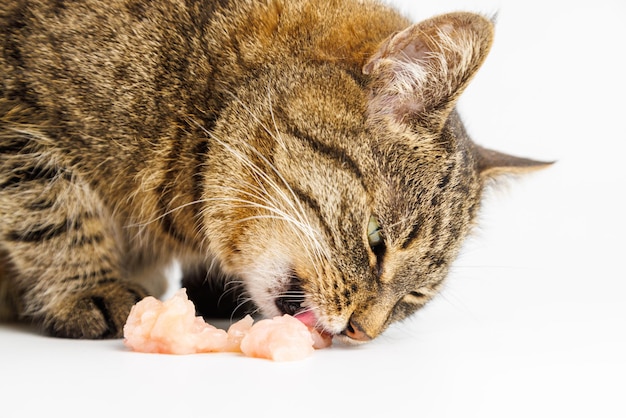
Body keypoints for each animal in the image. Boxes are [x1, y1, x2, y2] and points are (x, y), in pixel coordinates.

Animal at [0, 0, 544, 340]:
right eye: (376, 241)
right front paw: (91, 286)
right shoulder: (16, 115)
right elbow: (51, 206)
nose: (363, 332)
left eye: (414, 295)